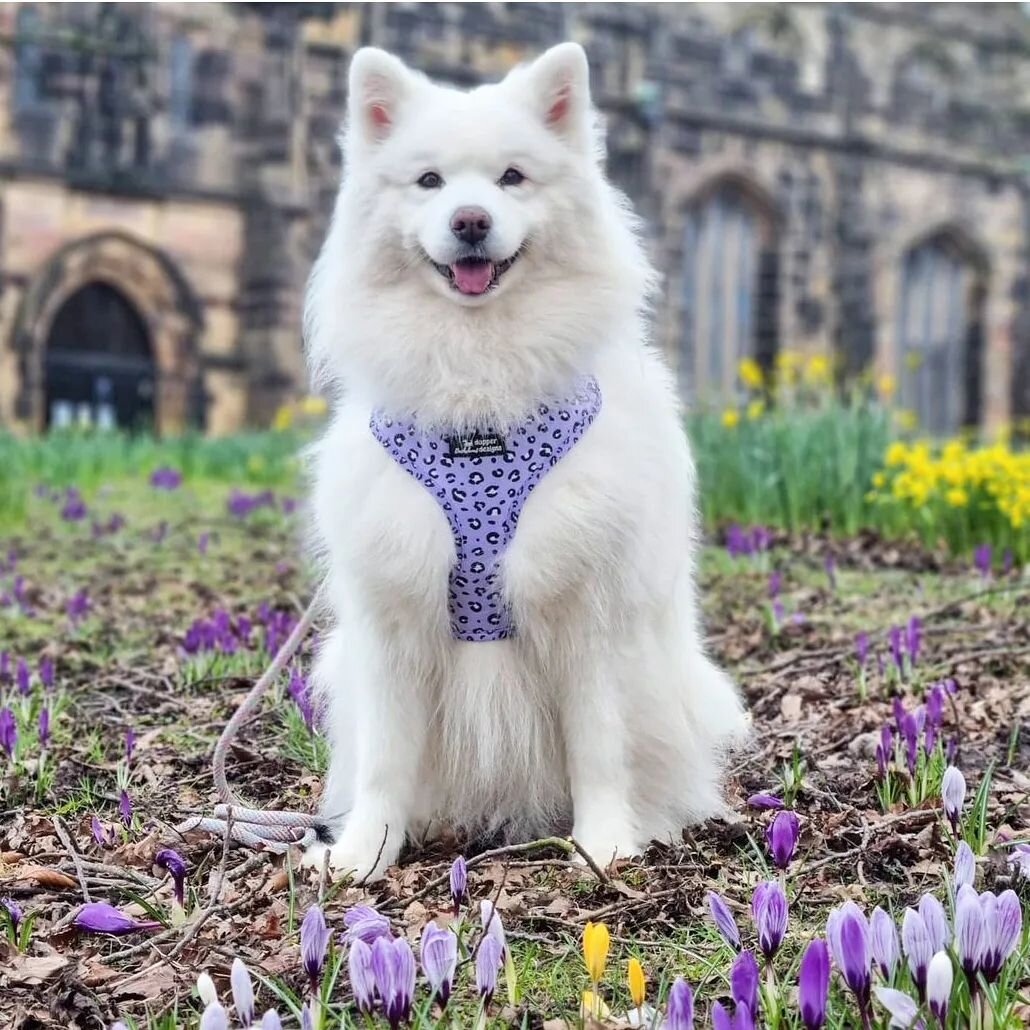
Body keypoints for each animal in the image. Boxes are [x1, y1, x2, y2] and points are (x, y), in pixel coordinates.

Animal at [300, 42, 745, 877]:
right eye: (430, 182)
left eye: (512, 177)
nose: (470, 220)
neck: (480, 394)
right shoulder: (393, 608)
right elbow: (384, 760)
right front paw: (365, 852)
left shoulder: (585, 601)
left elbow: (598, 745)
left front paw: (604, 845)